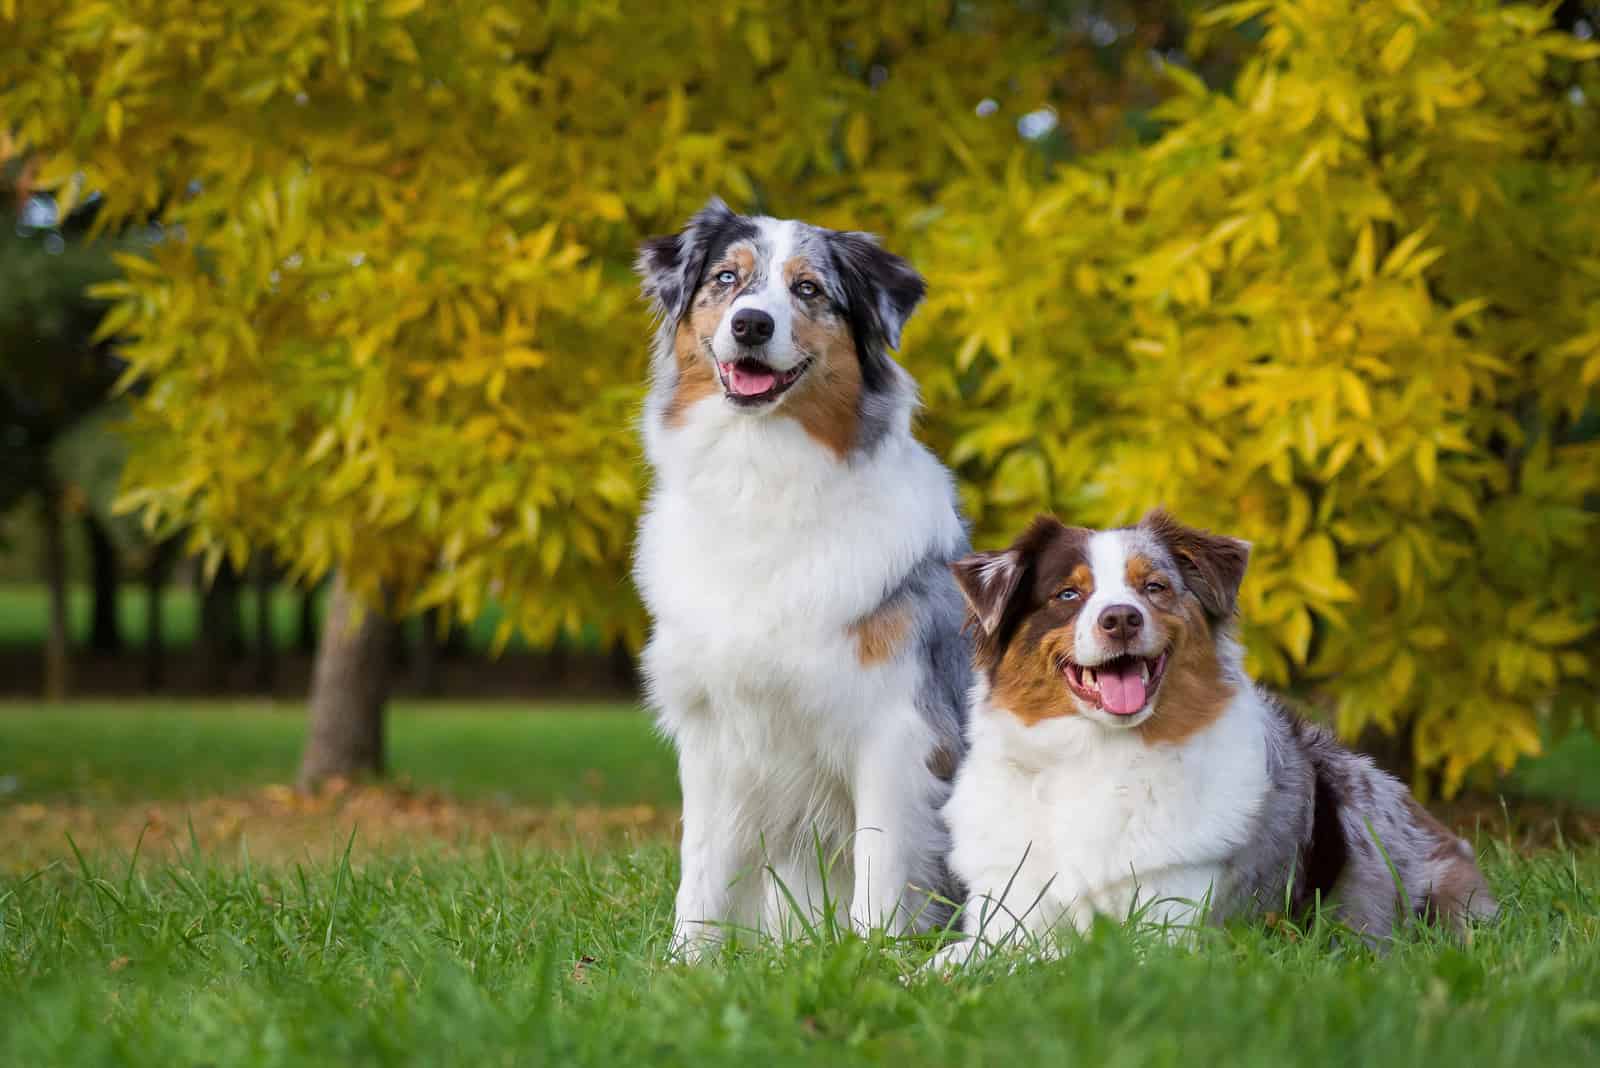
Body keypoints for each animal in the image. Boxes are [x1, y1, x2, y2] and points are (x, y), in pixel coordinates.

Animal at [630, 199, 966, 959]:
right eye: (726, 279)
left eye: (809, 289)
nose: (752, 324)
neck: (761, 480)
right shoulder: (714, 735)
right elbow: (701, 869)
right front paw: (684, 966)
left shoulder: (895, 731)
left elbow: (881, 866)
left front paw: (869, 961)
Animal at [934, 508, 1497, 959]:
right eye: (1068, 594)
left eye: (1154, 587)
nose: (1121, 619)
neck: (1096, 754)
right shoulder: (1009, 913)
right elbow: (952, 962)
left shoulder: (1167, 928)